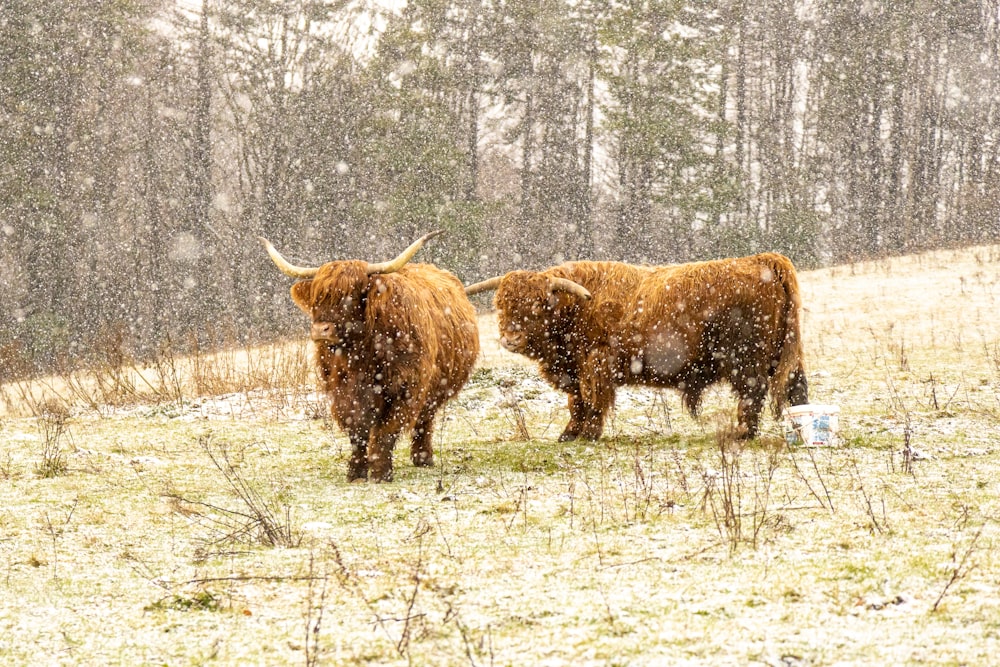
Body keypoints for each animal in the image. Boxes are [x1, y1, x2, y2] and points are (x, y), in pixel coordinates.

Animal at [262, 232, 480, 482]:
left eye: (349, 296)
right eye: (317, 297)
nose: (320, 330)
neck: (362, 353)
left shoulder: (405, 387)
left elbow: (387, 430)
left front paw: (380, 472)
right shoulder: (342, 390)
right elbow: (357, 429)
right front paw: (356, 472)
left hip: (437, 388)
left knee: (425, 419)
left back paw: (423, 458)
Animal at [466, 253, 804, 440]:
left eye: (537, 306)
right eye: (501, 305)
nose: (510, 339)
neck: (575, 308)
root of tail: (762, 259)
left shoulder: (594, 363)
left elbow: (592, 400)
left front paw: (589, 433)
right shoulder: (574, 370)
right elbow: (576, 402)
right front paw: (569, 433)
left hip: (745, 359)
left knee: (752, 393)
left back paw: (744, 433)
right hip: (782, 355)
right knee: (795, 385)